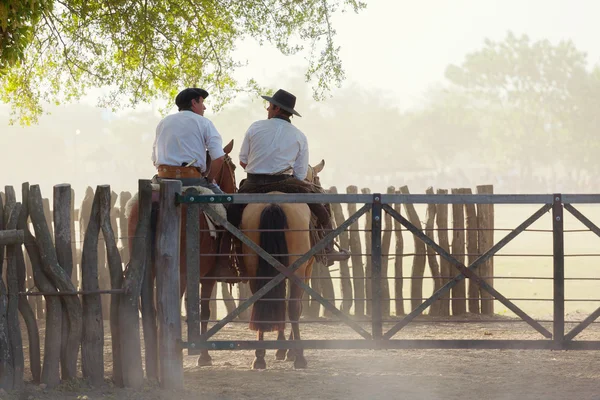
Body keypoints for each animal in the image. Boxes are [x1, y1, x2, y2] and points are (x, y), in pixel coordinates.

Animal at [125, 139, 238, 368]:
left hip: (149, 270)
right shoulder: (207, 277)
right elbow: (204, 311)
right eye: (233, 167)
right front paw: (204, 356)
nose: (236, 189)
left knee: (151, 310)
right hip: (181, 274)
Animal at [239, 159, 326, 368]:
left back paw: (259, 357)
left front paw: (281, 348)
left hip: (255, 267)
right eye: (317, 178)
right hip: (297, 270)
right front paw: (288, 351)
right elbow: (295, 307)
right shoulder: (306, 269)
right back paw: (299, 356)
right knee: (293, 308)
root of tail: (273, 204)